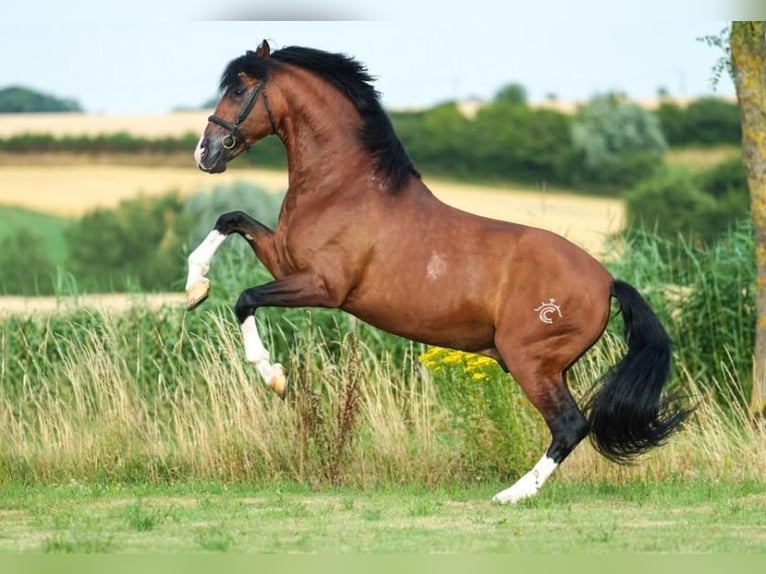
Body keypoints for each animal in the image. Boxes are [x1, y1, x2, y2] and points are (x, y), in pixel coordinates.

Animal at [184, 40, 688, 506]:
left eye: (238, 89)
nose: (204, 154)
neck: (344, 189)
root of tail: (607, 281)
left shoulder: (321, 286)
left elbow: (245, 298)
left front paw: (273, 376)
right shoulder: (284, 259)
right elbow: (230, 219)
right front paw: (194, 288)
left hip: (530, 361)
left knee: (569, 426)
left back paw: (512, 494)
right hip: (545, 365)